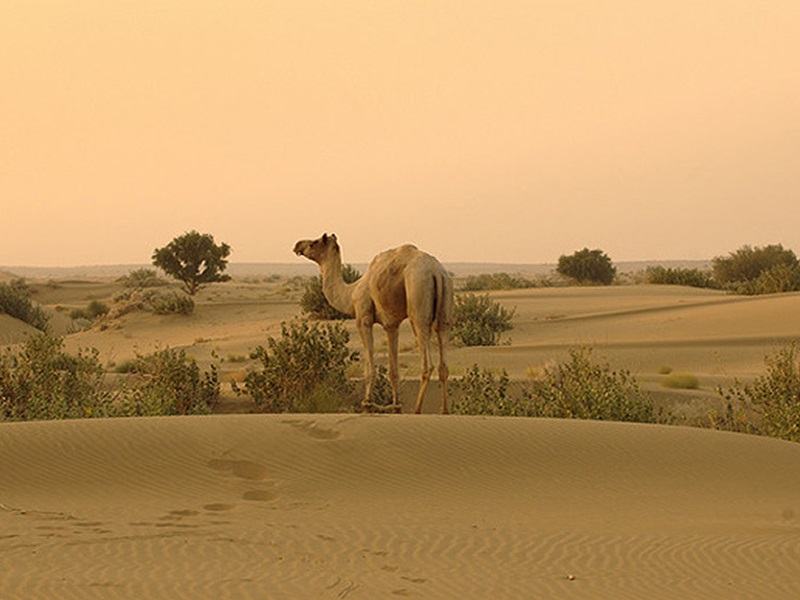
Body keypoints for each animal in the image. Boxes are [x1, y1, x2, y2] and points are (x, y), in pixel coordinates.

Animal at [296, 236, 456, 418]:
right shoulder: (391, 324)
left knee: (426, 360)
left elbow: (369, 368)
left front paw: (367, 404)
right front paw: (396, 407)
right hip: (446, 302)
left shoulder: (363, 318)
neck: (351, 293)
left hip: (418, 298)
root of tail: (436, 271)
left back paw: (417, 409)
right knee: (443, 351)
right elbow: (393, 371)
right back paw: (444, 410)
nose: (297, 245)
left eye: (313, 243)